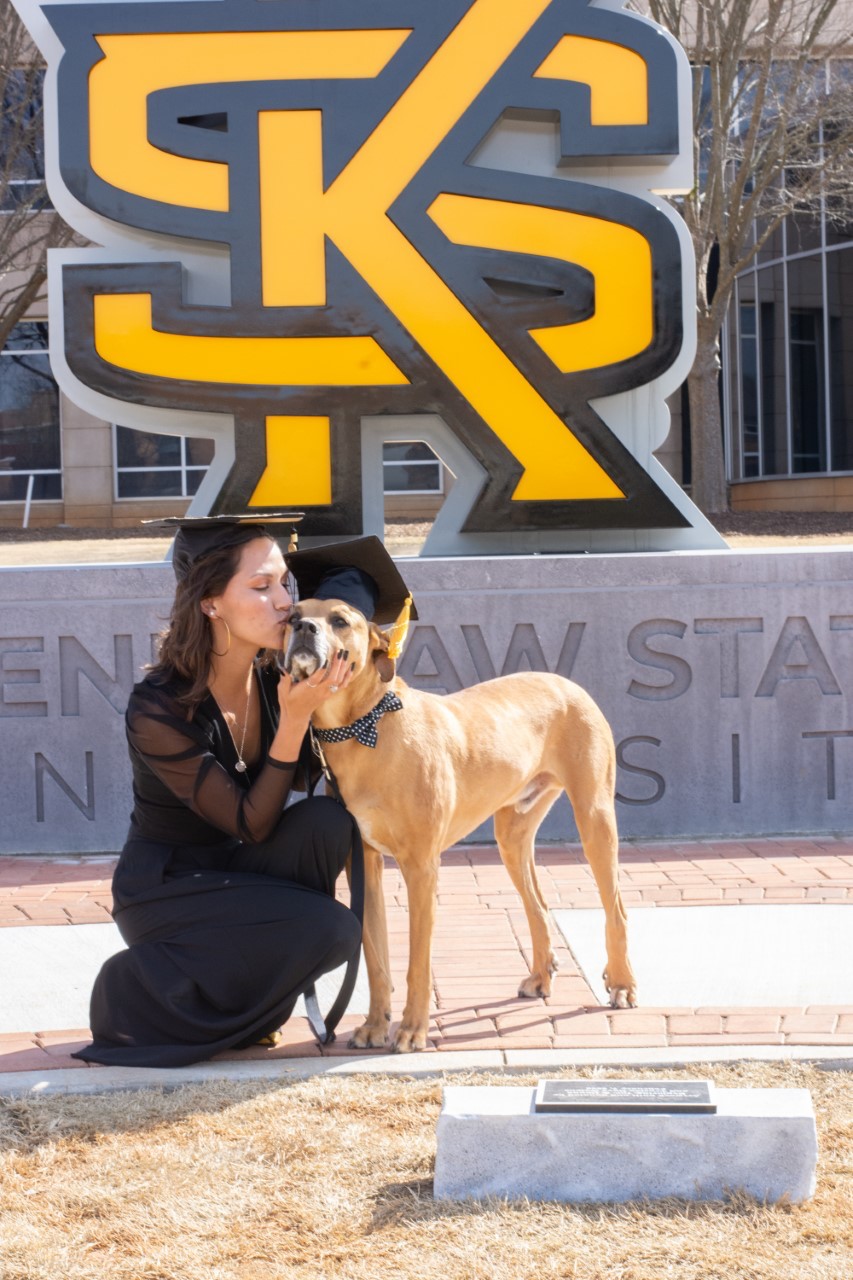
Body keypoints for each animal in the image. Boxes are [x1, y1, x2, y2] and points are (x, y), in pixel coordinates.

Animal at [284, 599, 630, 1049]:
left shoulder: (420, 867)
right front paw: (376, 1025)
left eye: (340, 620)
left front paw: (412, 1030)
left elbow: (417, 961)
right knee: (537, 905)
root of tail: (569, 683)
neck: (365, 727)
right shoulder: (365, 864)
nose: (303, 629)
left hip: (595, 818)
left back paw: (622, 984)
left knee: (616, 908)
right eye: (292, 616)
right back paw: (540, 976)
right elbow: (376, 959)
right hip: (512, 836)